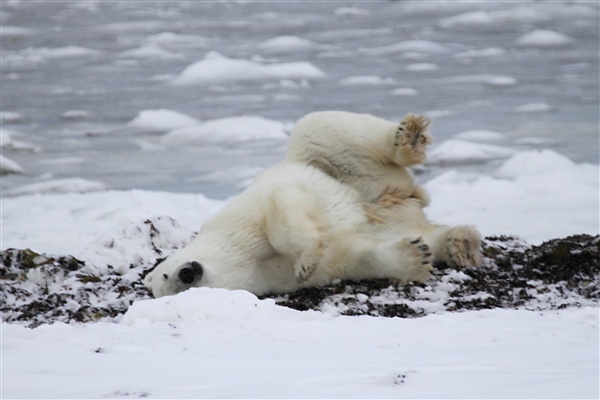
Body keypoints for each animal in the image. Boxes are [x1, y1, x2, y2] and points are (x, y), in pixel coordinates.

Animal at [145, 162, 436, 296]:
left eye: (164, 272)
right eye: (167, 281)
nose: (187, 272)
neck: (233, 255)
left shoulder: (244, 216)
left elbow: (280, 206)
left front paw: (305, 263)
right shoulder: (265, 278)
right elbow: (349, 256)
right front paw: (414, 258)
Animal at [286, 111, 482, 268]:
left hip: (363, 175)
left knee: (315, 127)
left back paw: (410, 136)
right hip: (386, 213)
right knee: (416, 235)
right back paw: (459, 242)